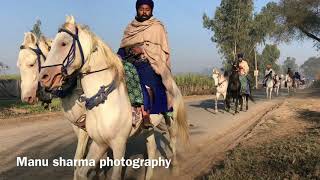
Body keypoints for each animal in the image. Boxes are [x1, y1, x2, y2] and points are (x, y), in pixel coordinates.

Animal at [38, 15, 189, 180]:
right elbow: (81, 171)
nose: (44, 77)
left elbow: (114, 175)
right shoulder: (99, 144)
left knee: (173, 141)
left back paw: (175, 168)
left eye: (63, 43)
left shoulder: (118, 145)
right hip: (148, 127)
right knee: (151, 149)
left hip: (170, 119)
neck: (103, 101)